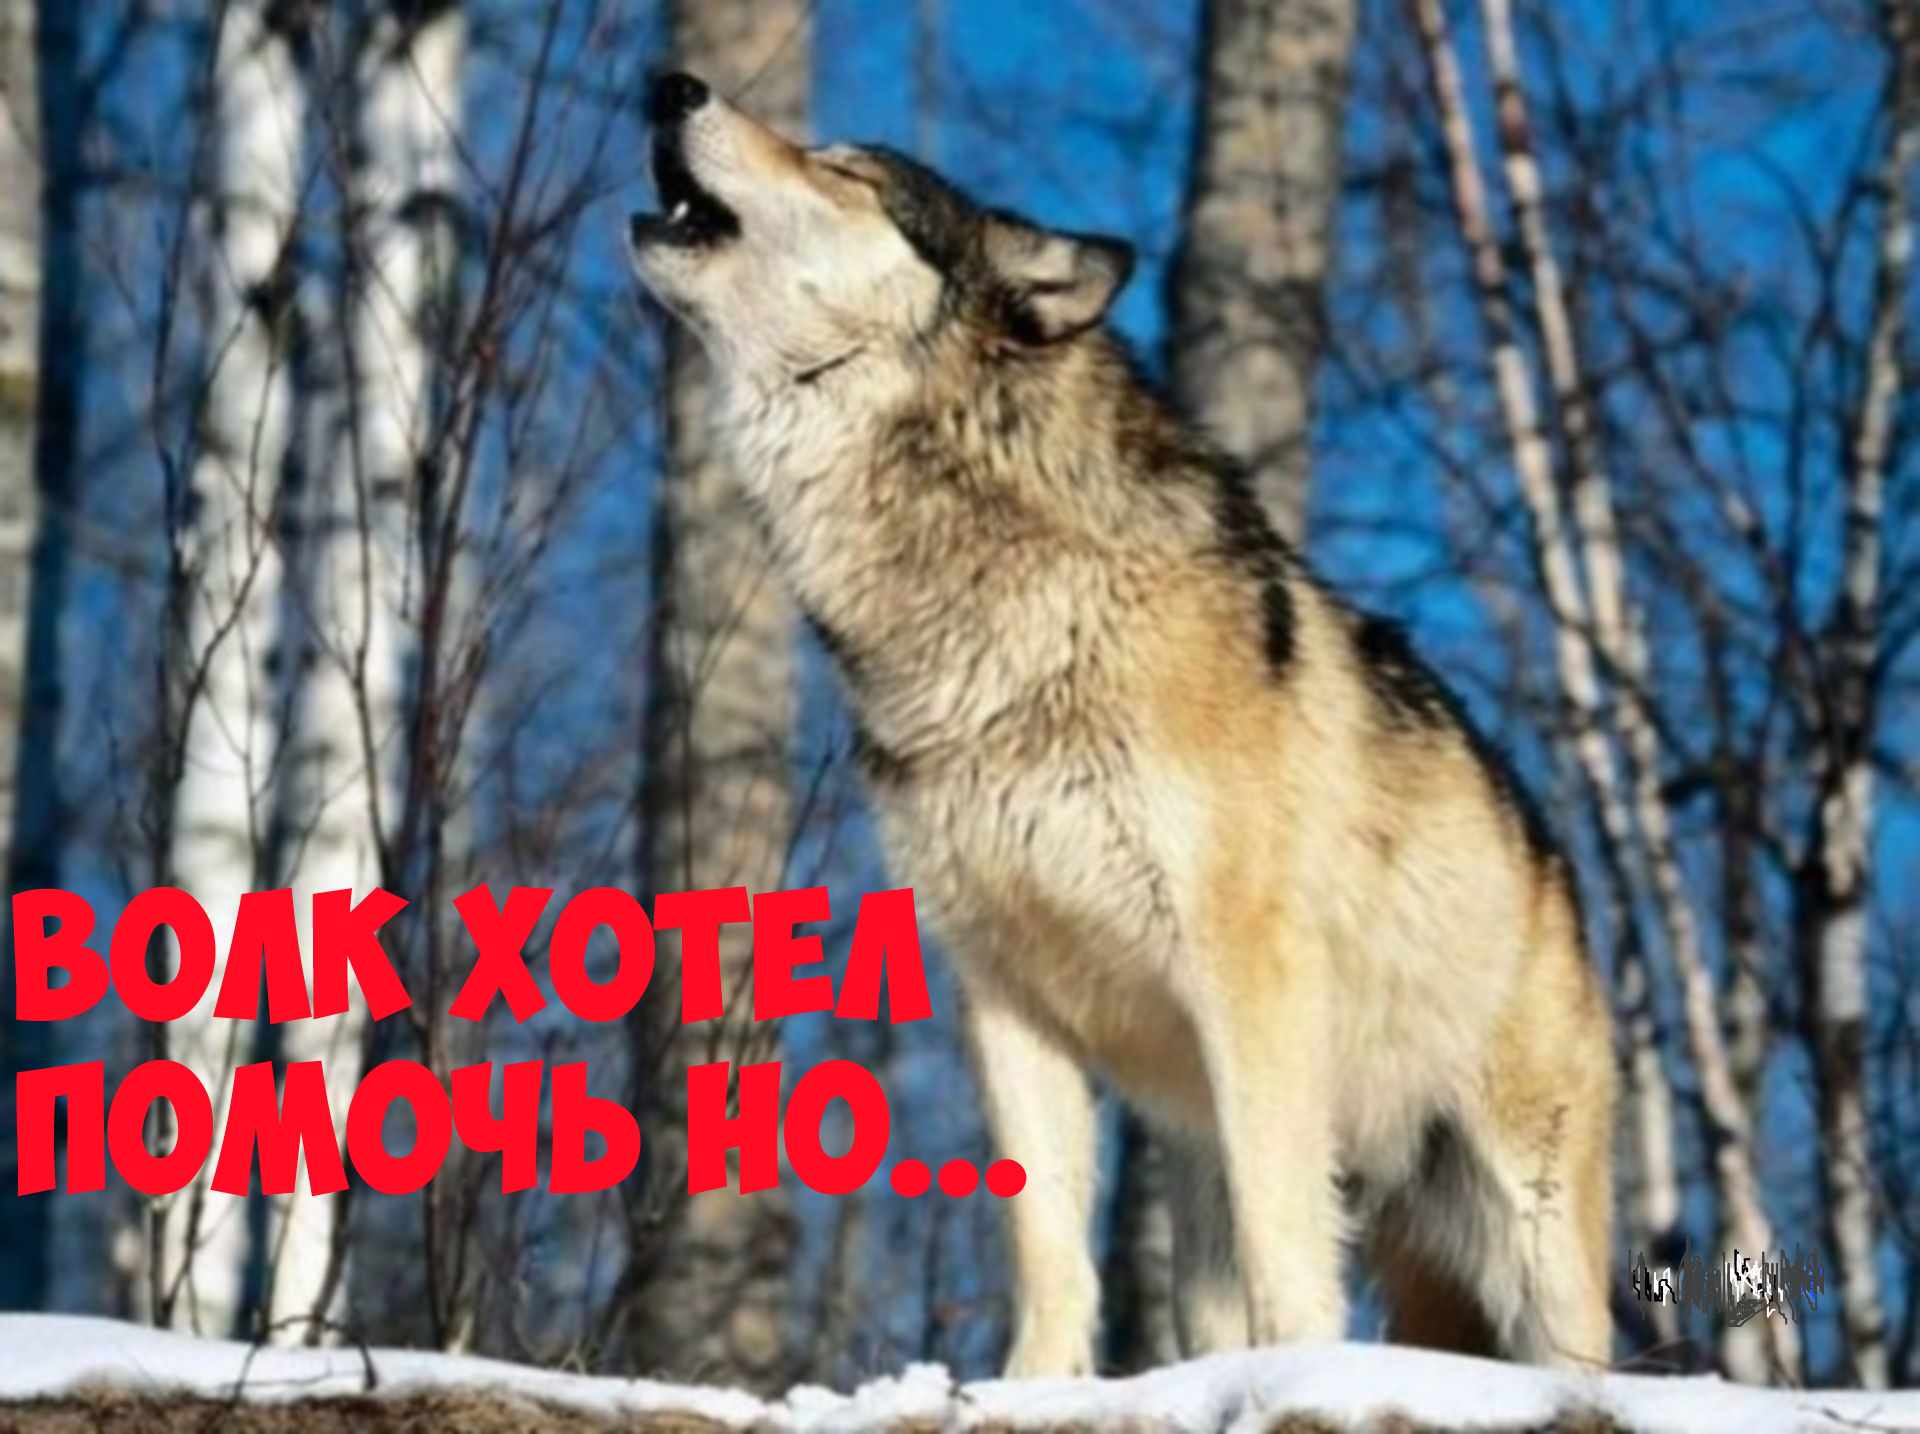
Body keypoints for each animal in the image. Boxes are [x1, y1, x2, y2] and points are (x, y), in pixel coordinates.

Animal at [628, 71, 1616, 1376]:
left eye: (844, 169)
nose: (669, 85)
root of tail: (1557, 862)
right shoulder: (1004, 997)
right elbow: (1048, 1243)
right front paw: (1030, 1388)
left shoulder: (1249, 980)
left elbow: (1289, 1247)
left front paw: (1296, 1378)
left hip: (1525, 1226)